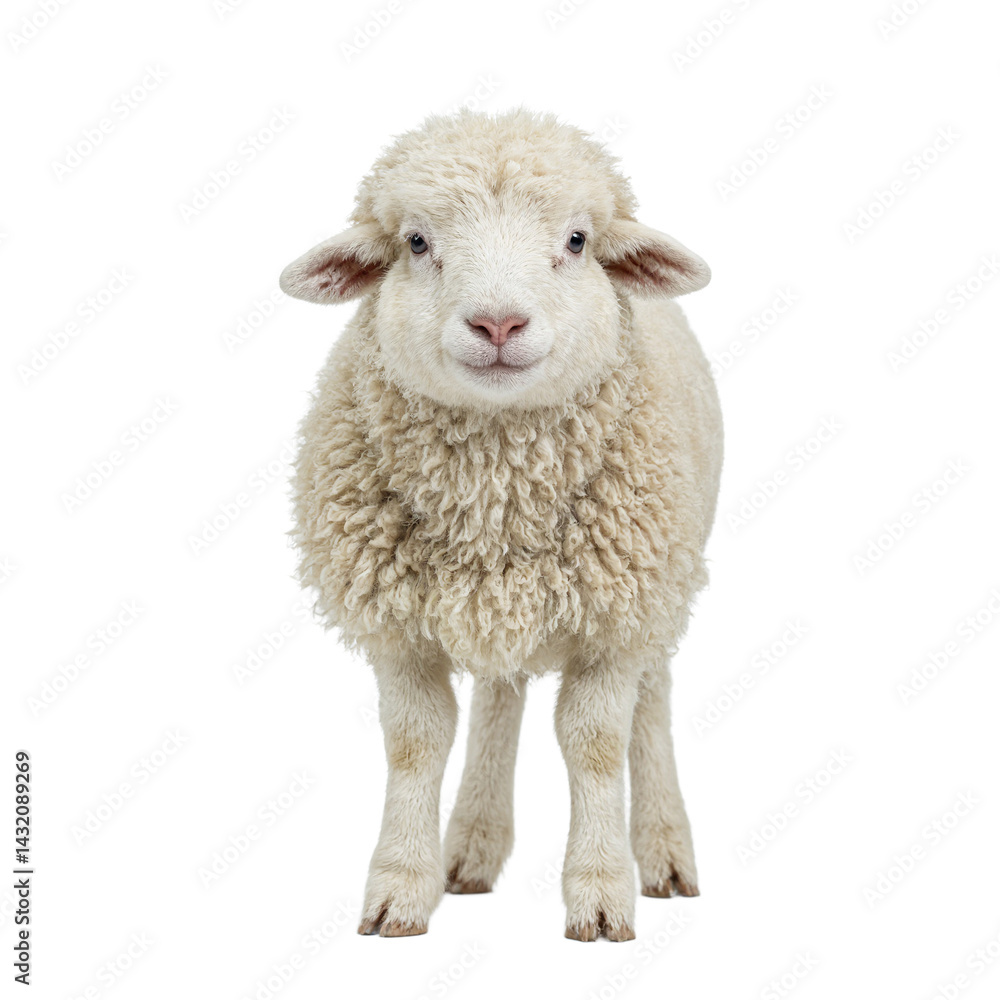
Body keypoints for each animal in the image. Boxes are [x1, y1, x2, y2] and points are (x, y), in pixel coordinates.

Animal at [279, 108, 723, 942]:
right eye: (417, 242)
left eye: (577, 240)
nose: (497, 322)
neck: (497, 495)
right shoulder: (399, 630)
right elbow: (416, 742)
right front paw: (400, 889)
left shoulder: (616, 616)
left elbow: (595, 743)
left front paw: (600, 892)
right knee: (499, 696)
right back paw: (472, 846)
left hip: (662, 579)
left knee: (651, 703)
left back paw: (664, 851)